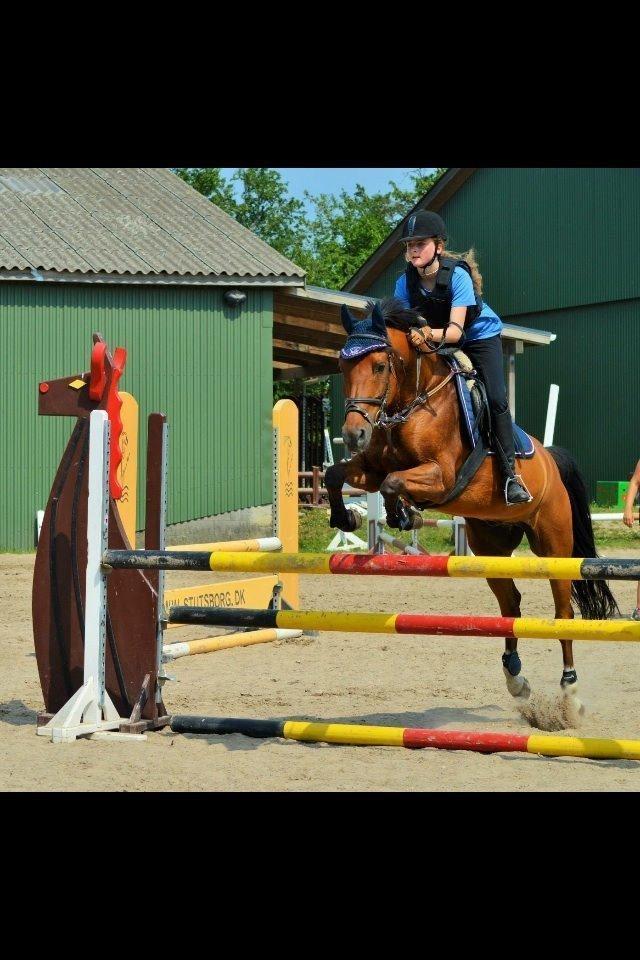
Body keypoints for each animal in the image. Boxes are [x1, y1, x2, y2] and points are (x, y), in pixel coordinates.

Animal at [324, 298, 620, 712]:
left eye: (380, 366)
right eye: (342, 365)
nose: (354, 434)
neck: (414, 400)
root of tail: (550, 459)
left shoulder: (441, 476)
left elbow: (392, 482)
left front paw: (403, 514)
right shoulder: (369, 467)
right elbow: (337, 474)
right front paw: (346, 517)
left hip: (554, 543)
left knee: (562, 610)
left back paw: (569, 687)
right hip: (488, 546)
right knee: (511, 604)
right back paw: (515, 678)